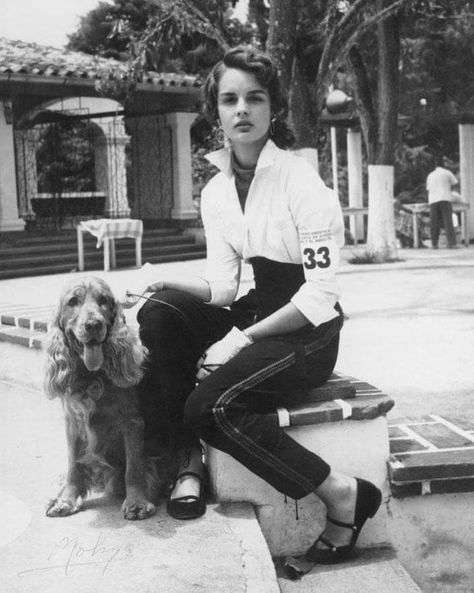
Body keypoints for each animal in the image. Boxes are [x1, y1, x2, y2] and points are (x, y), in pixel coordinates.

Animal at [44, 276, 161, 520]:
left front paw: (136, 502)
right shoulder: (73, 422)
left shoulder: (132, 422)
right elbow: (73, 466)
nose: (93, 325)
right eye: (73, 301)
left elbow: (134, 467)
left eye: (103, 300)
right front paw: (66, 500)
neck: (92, 376)